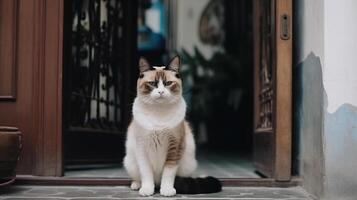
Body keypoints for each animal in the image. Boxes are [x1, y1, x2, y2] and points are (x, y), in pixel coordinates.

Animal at [124, 55, 221, 196]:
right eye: (152, 84)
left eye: (168, 83)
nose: (160, 92)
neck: (159, 113)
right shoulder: (142, 148)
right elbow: (146, 173)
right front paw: (147, 190)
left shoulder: (175, 147)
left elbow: (168, 173)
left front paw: (167, 190)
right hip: (130, 161)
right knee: (139, 177)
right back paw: (137, 185)